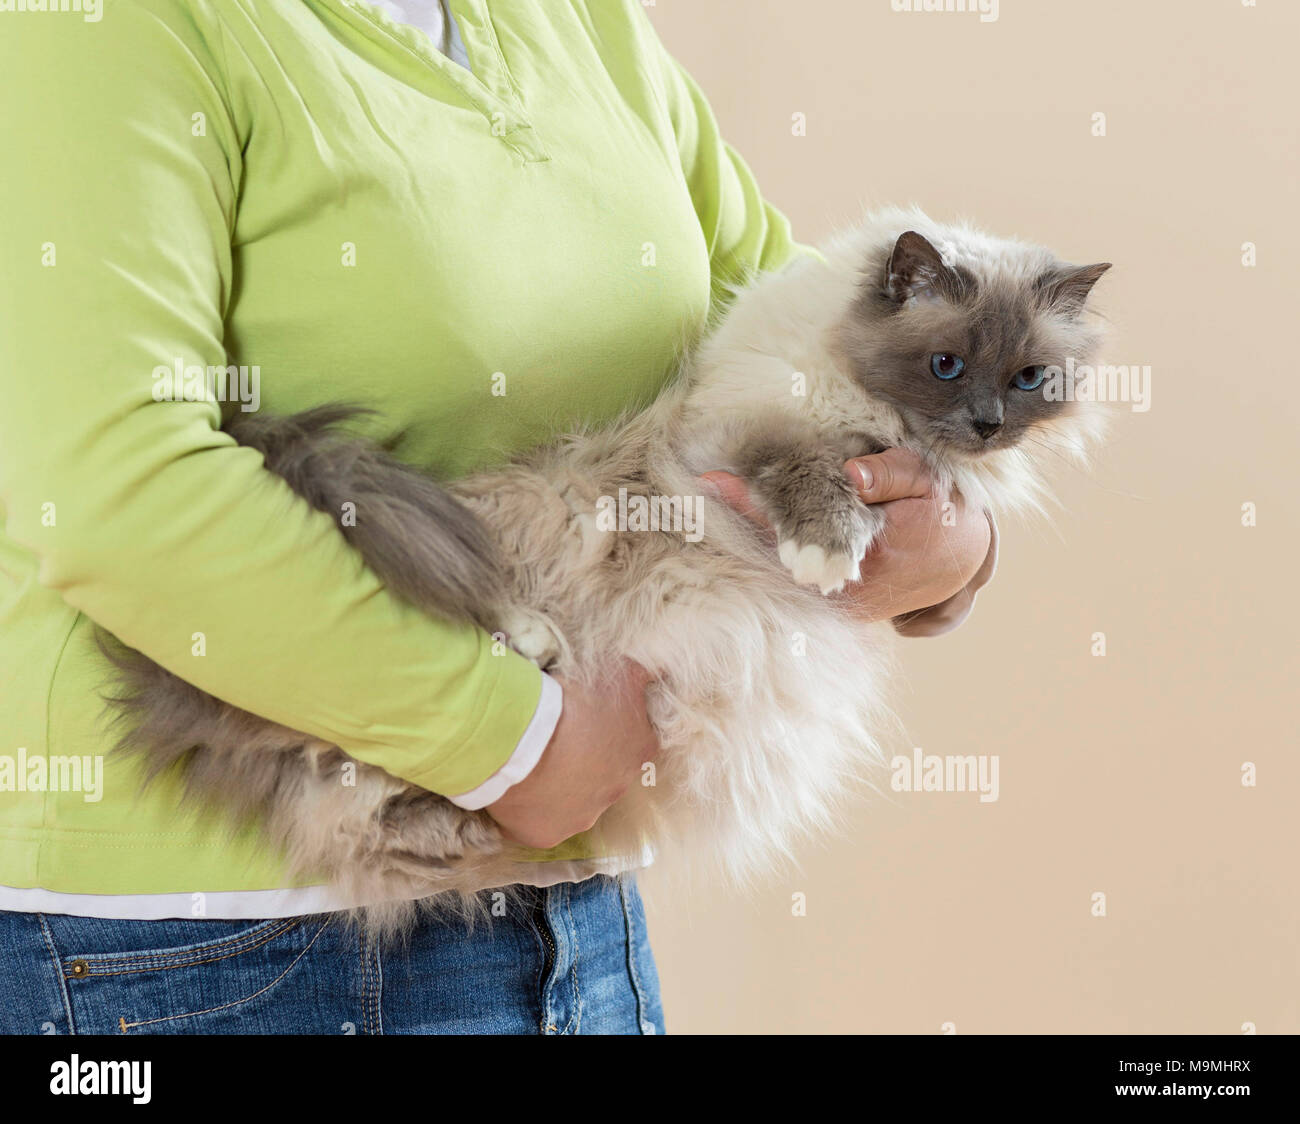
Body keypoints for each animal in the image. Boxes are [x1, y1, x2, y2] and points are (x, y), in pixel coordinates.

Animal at [101, 206, 1112, 925]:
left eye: (1026, 378)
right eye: (946, 364)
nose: (985, 424)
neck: (877, 414)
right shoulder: (733, 450)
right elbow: (807, 475)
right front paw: (829, 551)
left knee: (393, 820)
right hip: (468, 545)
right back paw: (533, 646)